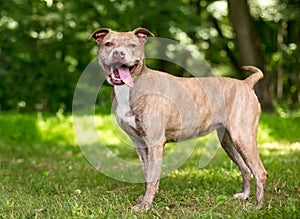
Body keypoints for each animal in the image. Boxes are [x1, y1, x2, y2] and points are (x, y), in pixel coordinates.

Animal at [88, 27, 268, 210]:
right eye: (108, 43)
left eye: (132, 45)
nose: (118, 53)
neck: (132, 86)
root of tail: (246, 83)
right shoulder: (140, 144)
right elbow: (147, 174)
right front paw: (147, 198)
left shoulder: (155, 142)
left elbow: (152, 176)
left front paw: (146, 205)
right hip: (228, 141)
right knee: (246, 168)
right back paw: (244, 196)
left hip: (243, 136)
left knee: (260, 172)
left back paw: (257, 206)